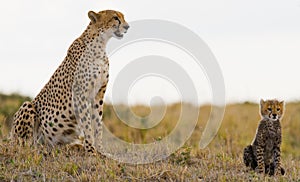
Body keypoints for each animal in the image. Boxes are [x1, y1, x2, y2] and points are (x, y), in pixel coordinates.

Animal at [9, 8, 129, 154]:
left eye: (123, 17)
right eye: (115, 18)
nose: (127, 27)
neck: (100, 45)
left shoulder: (99, 94)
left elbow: (98, 124)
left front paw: (100, 151)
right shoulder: (80, 94)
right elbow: (87, 125)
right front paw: (91, 151)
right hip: (28, 108)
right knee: (24, 145)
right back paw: (34, 149)